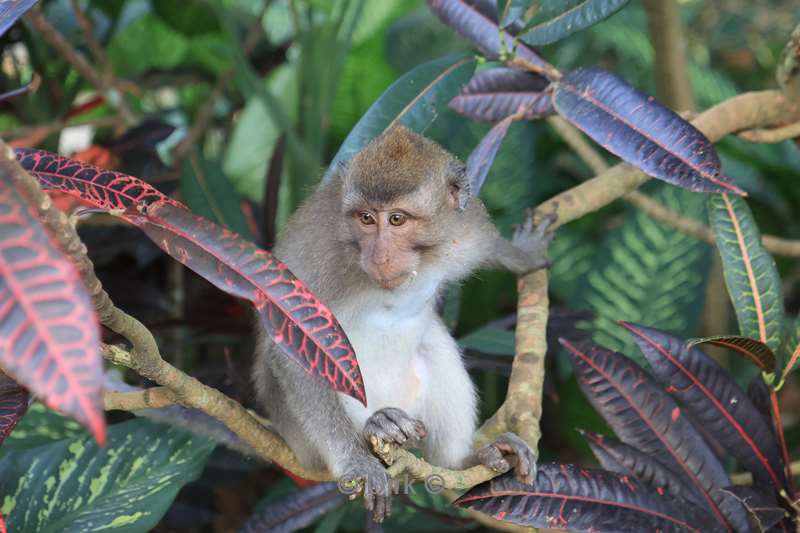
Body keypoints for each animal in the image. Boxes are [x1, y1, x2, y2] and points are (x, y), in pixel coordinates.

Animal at [253, 123, 552, 520]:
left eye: (397, 219)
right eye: (366, 218)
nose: (379, 256)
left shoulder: (465, 229)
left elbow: (493, 249)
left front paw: (525, 253)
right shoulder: (324, 262)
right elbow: (294, 350)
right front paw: (355, 462)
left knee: (435, 345)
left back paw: (461, 460)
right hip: (301, 439)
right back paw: (377, 426)